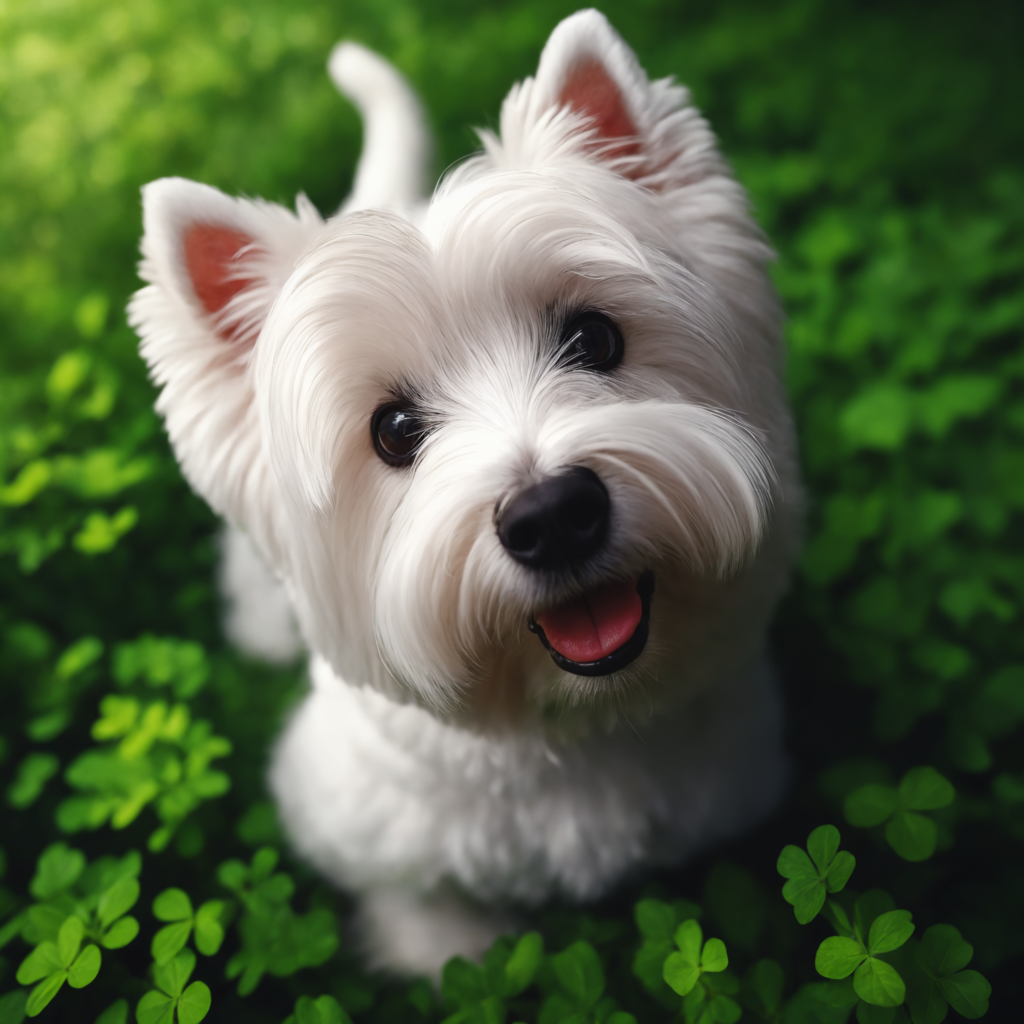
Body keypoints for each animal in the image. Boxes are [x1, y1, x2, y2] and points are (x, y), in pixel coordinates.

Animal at [130, 12, 798, 978]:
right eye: (394, 430)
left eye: (595, 338)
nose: (551, 516)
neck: (571, 734)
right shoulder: (356, 820)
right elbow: (424, 906)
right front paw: (442, 950)